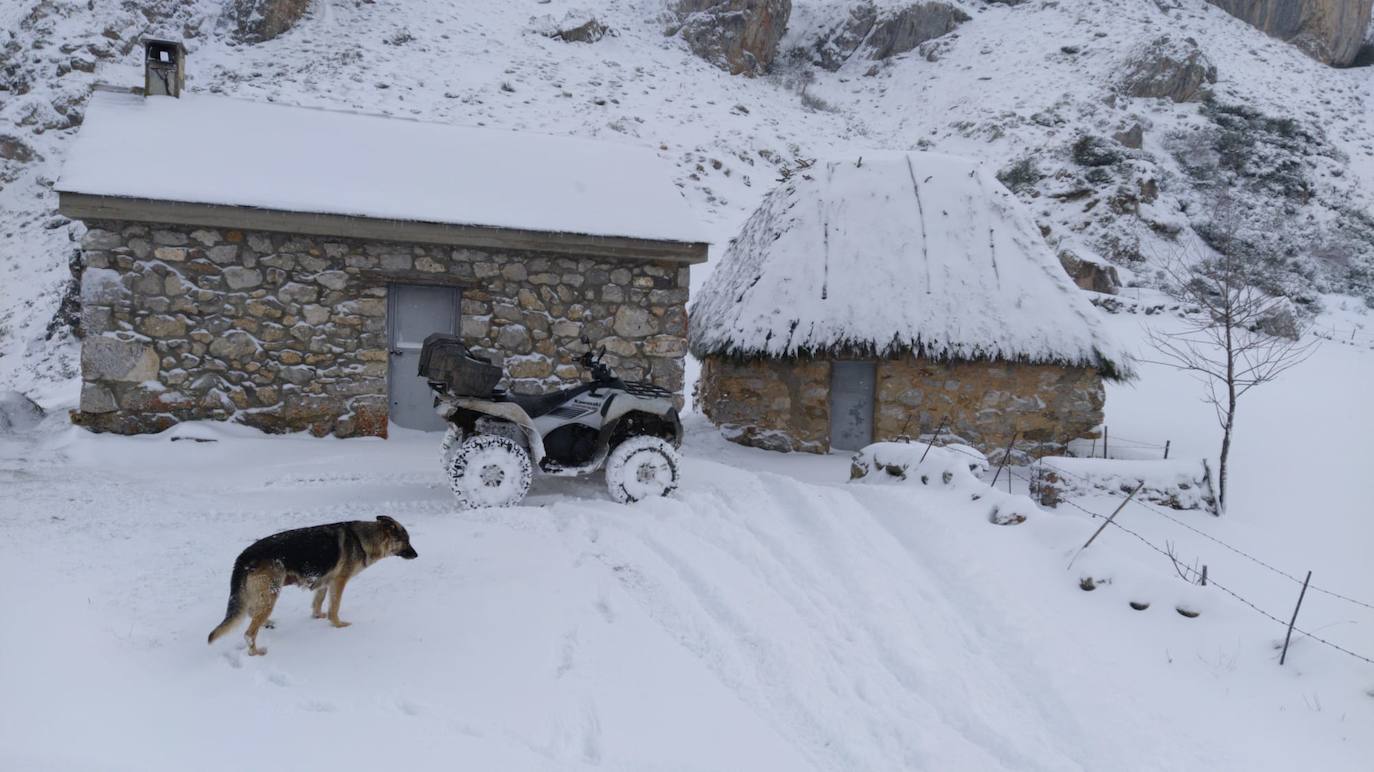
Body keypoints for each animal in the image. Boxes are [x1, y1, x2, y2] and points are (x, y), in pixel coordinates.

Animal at [206, 513, 414, 651]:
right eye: (406, 540)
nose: (417, 555)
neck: (363, 539)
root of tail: (244, 555)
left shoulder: (325, 582)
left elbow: (318, 602)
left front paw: (318, 616)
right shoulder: (339, 582)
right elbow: (334, 607)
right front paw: (338, 625)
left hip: (263, 595)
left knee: (251, 612)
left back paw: (268, 624)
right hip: (271, 594)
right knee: (249, 633)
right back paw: (256, 652)